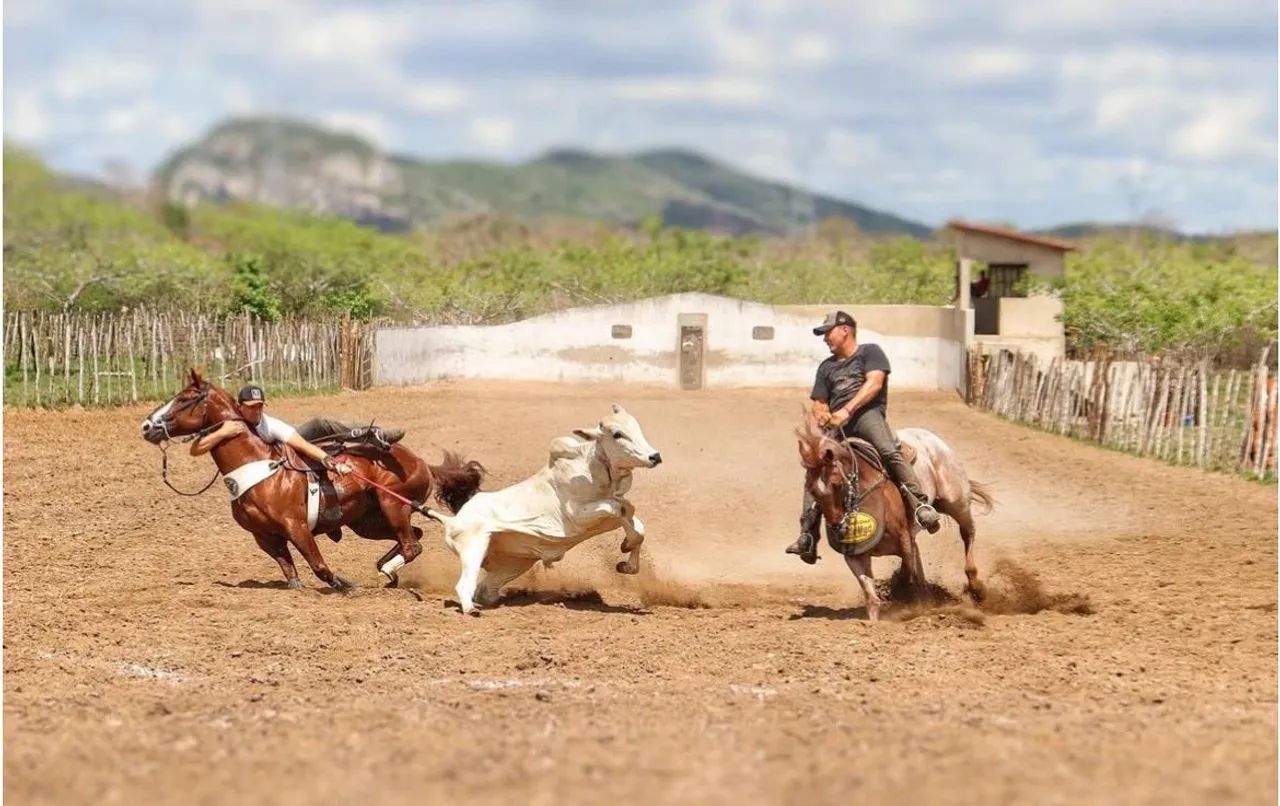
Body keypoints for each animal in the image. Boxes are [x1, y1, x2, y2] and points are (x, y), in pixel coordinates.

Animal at [140, 369, 484, 590]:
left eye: (185, 398)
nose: (147, 426)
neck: (259, 467)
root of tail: (423, 462)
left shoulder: (297, 527)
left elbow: (318, 565)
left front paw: (346, 585)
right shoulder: (265, 537)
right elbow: (290, 573)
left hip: (392, 504)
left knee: (411, 544)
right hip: (367, 520)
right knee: (414, 538)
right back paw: (386, 572)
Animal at [795, 415, 994, 621]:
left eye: (837, 484)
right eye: (811, 490)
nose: (839, 528)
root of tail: (930, 438)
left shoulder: (903, 539)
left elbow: (909, 570)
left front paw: (910, 598)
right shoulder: (855, 555)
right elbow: (872, 596)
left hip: (957, 502)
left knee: (968, 533)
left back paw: (976, 588)